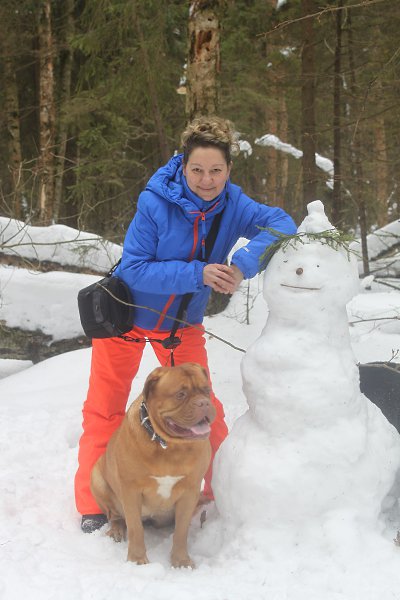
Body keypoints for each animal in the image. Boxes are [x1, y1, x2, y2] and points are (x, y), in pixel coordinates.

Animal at [90, 362, 216, 568]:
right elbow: (135, 528)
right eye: (180, 394)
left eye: (206, 390)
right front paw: (136, 560)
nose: (204, 403)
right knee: (115, 515)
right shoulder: (131, 491)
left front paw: (181, 561)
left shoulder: (190, 490)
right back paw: (116, 529)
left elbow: (181, 531)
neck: (169, 446)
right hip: (97, 479)